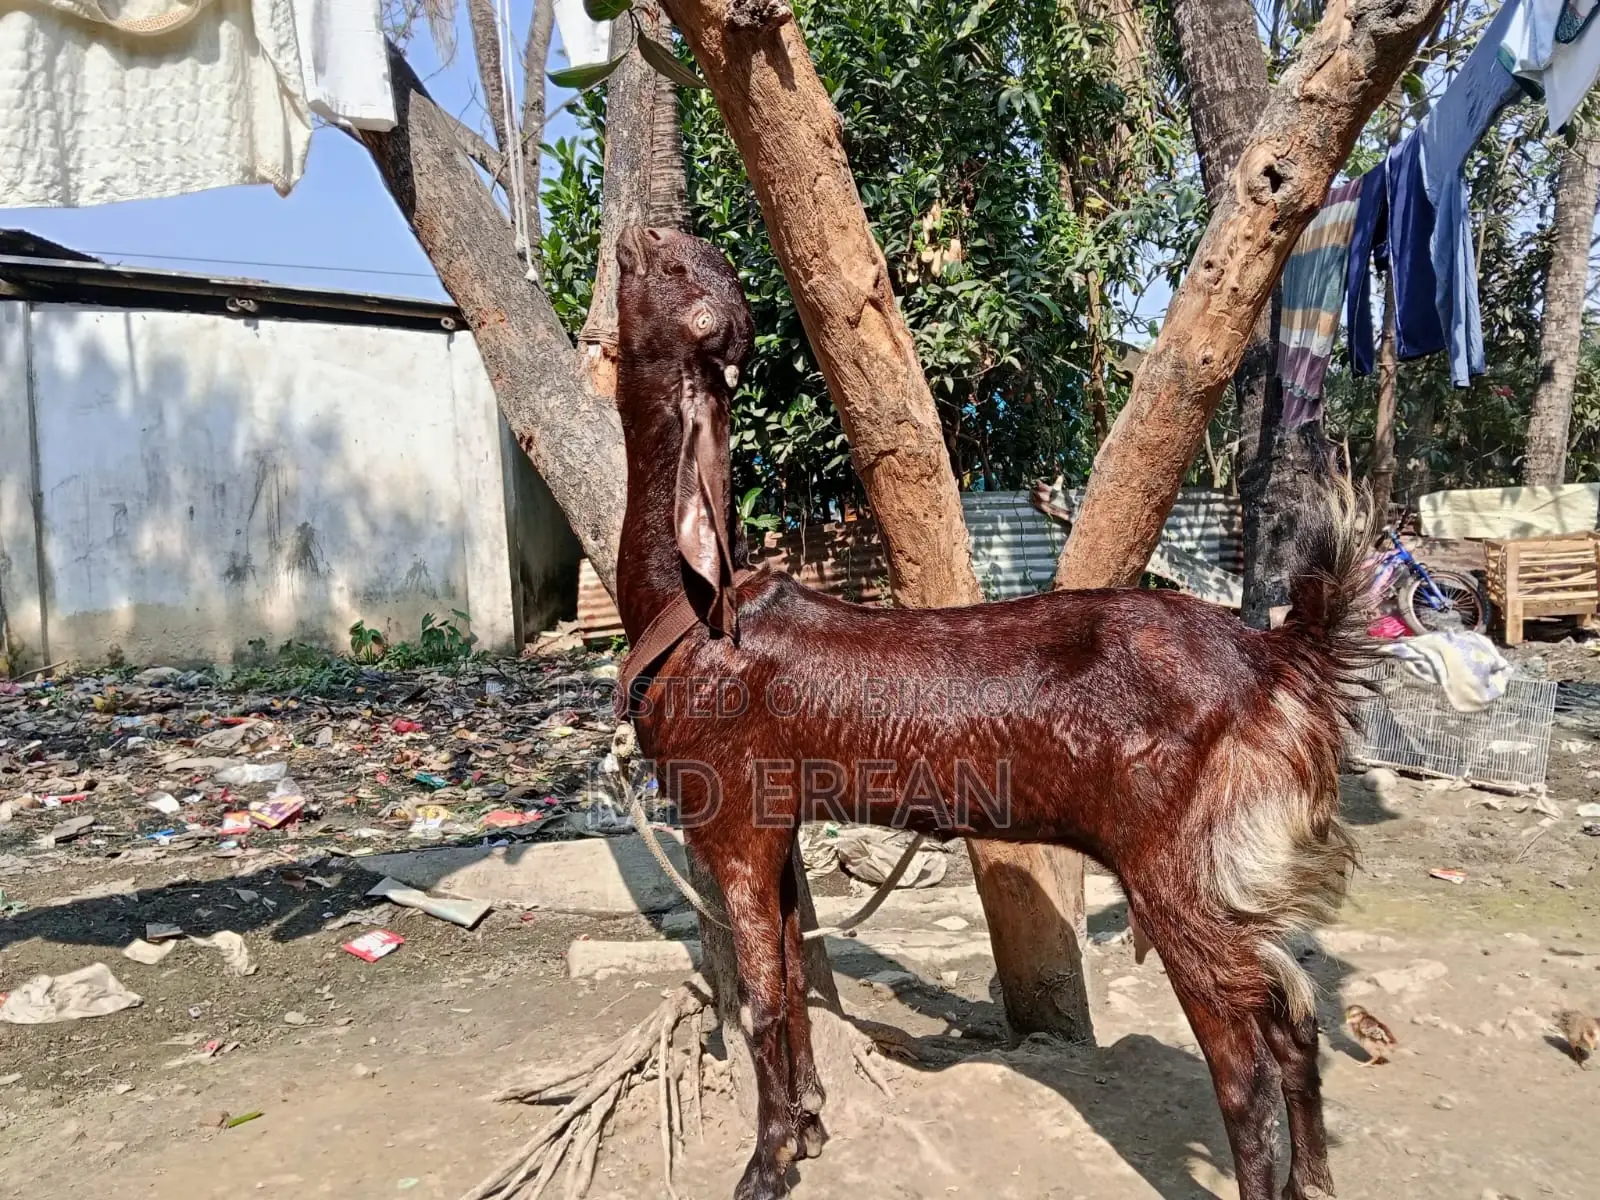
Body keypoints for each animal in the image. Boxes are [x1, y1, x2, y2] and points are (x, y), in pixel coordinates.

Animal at [612, 226, 1370, 1200]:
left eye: (675, 268)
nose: (642, 232)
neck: (693, 611)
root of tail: (1276, 660)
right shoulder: (780, 821)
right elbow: (792, 973)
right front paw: (811, 1125)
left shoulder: (732, 813)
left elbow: (764, 1004)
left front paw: (766, 1163)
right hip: (1228, 872)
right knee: (1295, 1020)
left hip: (1176, 865)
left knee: (1245, 1069)